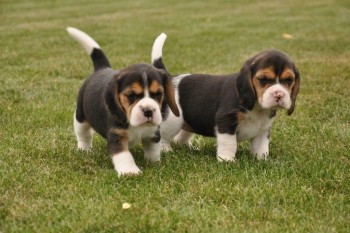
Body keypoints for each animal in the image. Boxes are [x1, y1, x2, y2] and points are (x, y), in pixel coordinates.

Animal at [66, 27, 179, 176]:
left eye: (158, 94)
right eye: (131, 95)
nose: (148, 111)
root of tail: (102, 68)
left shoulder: (153, 133)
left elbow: (153, 150)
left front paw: (154, 163)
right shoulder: (117, 136)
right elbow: (124, 155)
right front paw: (130, 171)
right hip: (80, 117)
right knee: (83, 135)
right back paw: (84, 150)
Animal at [157, 50, 300, 161]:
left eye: (289, 80)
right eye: (263, 79)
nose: (279, 95)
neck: (257, 107)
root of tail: (171, 78)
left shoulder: (263, 129)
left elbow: (262, 147)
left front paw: (262, 160)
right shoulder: (226, 120)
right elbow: (229, 143)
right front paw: (227, 160)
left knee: (180, 137)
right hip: (173, 120)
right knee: (163, 135)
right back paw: (165, 150)